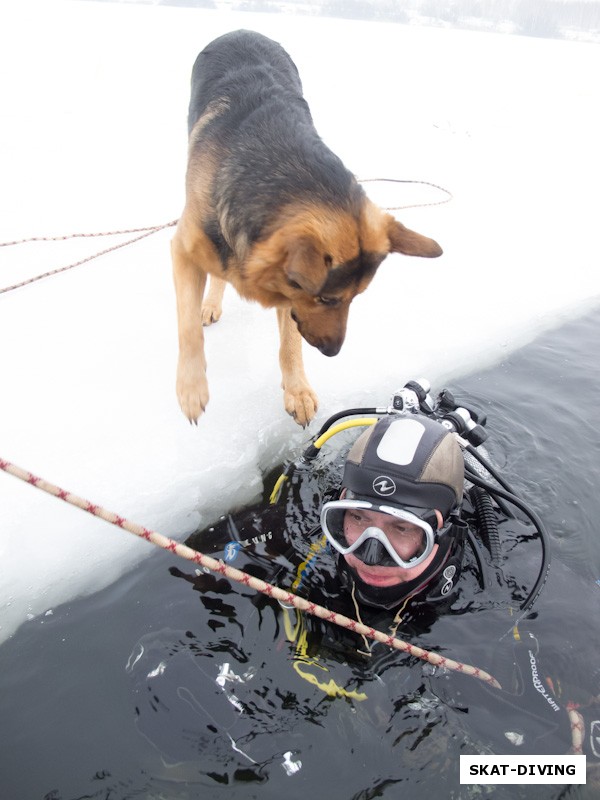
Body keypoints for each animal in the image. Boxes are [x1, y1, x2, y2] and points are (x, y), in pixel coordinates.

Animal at [171, 30, 442, 424]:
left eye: (357, 296)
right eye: (328, 298)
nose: (333, 352)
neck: (281, 170)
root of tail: (243, 30)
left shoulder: (287, 285)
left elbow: (289, 341)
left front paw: (297, 390)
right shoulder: (183, 249)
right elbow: (188, 326)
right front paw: (192, 388)